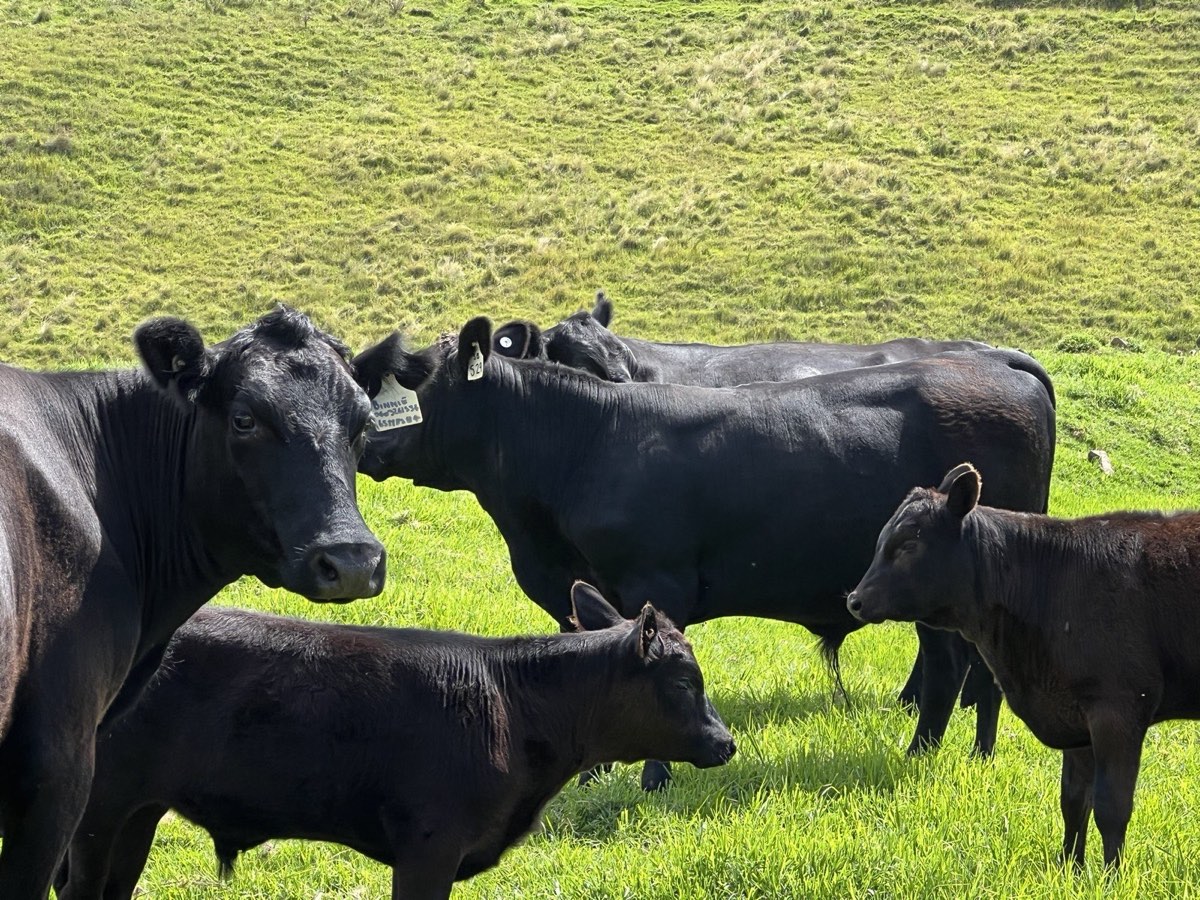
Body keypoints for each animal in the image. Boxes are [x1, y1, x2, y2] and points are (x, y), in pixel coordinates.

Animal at [56, 584, 735, 899]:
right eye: (684, 681)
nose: (725, 744)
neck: (512, 705)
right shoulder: (428, 847)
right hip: (99, 810)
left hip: (137, 812)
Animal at [354, 316, 1055, 790]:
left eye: (409, 380)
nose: (357, 435)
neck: (588, 442)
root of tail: (994, 365)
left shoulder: (653, 581)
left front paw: (653, 779)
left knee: (948, 667)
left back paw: (924, 754)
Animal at [848, 463, 1200, 868]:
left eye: (909, 544)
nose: (855, 600)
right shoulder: (1074, 718)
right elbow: (1073, 800)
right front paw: (1070, 868)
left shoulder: (1118, 710)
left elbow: (1111, 808)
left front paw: (1111, 875)